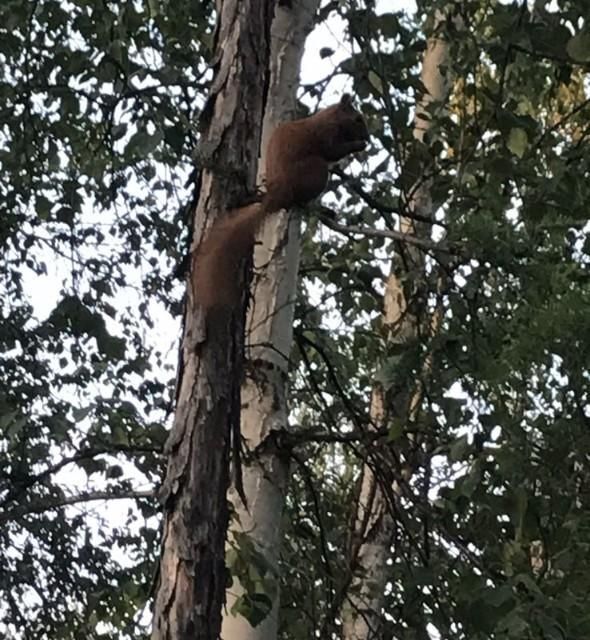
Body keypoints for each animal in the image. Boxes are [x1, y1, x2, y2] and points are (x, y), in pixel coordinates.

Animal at [194, 94, 370, 312]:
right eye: (358, 119)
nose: (368, 138)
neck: (331, 117)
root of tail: (277, 194)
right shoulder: (326, 134)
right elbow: (333, 151)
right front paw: (357, 145)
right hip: (316, 172)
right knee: (303, 196)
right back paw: (319, 208)